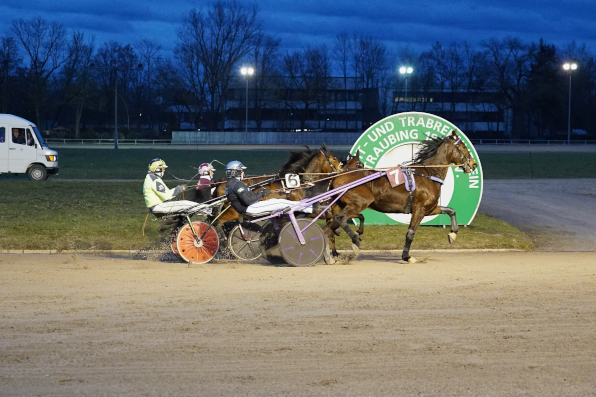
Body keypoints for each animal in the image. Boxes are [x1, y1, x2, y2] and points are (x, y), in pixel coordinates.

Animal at [324, 130, 478, 264]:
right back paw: (355, 240)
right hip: (360, 202)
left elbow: (451, 210)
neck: (428, 174)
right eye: (463, 146)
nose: (473, 164)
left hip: (341, 205)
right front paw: (407, 256)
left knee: (328, 229)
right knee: (340, 219)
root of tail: (337, 176)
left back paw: (329, 257)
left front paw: (453, 234)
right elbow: (410, 233)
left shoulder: (430, 209)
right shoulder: (419, 210)